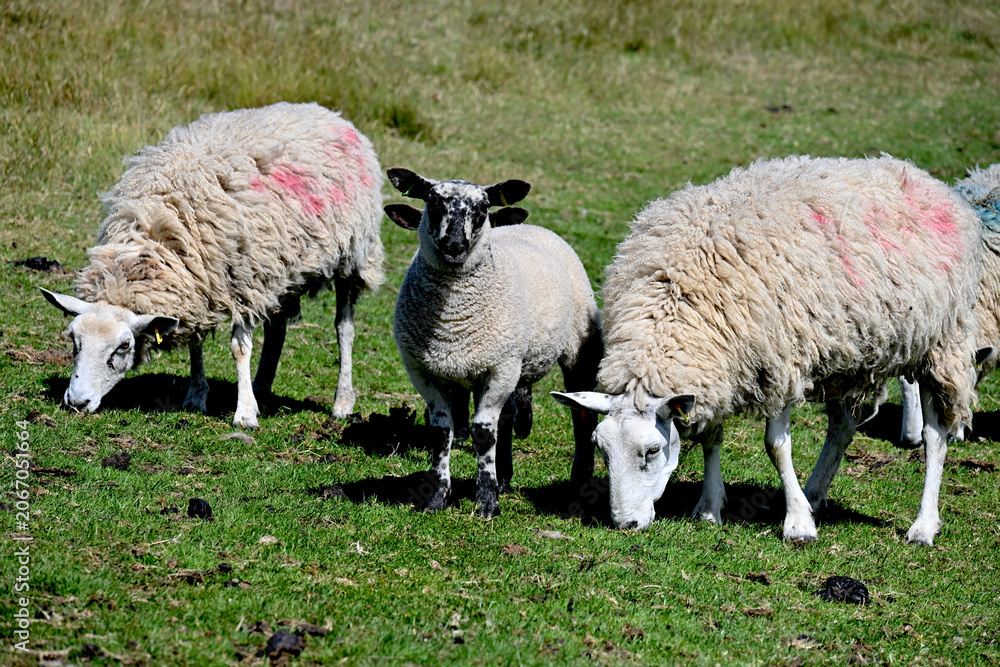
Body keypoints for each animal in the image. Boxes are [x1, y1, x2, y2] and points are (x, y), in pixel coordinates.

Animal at [40, 102, 384, 428]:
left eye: (123, 346)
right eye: (73, 340)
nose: (76, 402)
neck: (158, 228)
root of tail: (327, 112)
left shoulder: (245, 280)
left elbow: (239, 349)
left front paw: (244, 415)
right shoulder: (200, 283)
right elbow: (196, 342)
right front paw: (197, 397)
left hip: (352, 257)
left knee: (344, 329)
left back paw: (341, 402)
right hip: (281, 266)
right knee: (277, 329)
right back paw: (261, 390)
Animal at [384, 167, 603, 518]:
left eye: (483, 207)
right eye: (432, 201)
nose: (454, 246)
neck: (451, 321)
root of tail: (525, 226)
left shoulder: (500, 370)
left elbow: (483, 433)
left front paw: (486, 503)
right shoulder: (425, 371)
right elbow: (441, 432)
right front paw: (437, 498)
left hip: (574, 350)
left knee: (581, 416)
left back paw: (579, 480)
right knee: (508, 416)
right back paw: (504, 476)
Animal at [553, 155, 982, 545]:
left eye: (653, 450)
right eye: (601, 449)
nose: (624, 524)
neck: (675, 301)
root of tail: (918, 175)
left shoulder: (779, 363)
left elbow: (776, 447)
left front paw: (798, 526)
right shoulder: (720, 367)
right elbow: (711, 438)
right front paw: (710, 507)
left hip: (940, 343)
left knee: (934, 436)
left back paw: (922, 526)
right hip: (846, 354)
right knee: (842, 428)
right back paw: (814, 494)